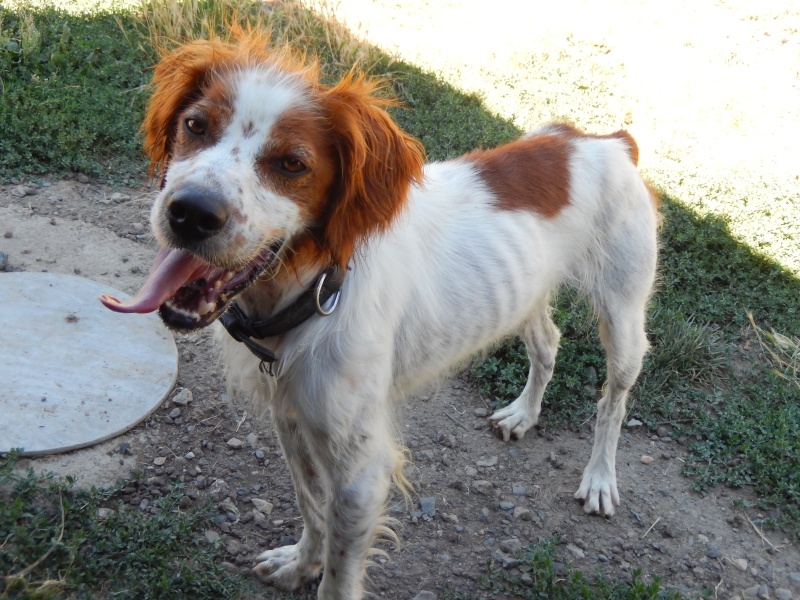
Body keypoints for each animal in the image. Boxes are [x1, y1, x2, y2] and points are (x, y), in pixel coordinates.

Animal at [103, 34, 660, 600]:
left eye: (292, 164)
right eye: (196, 125)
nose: (190, 212)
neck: (314, 292)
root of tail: (608, 141)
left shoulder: (361, 474)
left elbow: (340, 570)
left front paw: (318, 571)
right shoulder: (292, 421)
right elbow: (310, 504)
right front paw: (301, 563)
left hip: (623, 318)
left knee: (613, 402)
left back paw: (600, 479)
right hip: (527, 290)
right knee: (548, 342)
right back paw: (523, 413)